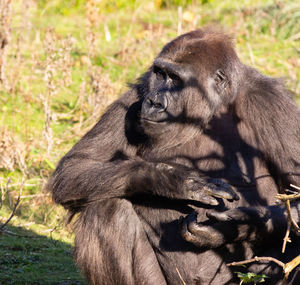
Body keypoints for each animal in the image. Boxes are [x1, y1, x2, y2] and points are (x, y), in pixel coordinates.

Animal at [47, 29, 300, 284]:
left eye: (176, 79)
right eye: (160, 74)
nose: (154, 102)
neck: (211, 109)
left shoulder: (271, 102)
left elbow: (295, 195)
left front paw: (234, 225)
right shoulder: (138, 92)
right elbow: (75, 168)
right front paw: (173, 179)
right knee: (106, 208)